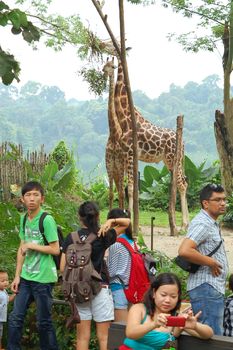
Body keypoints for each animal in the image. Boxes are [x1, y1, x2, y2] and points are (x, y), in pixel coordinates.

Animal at [114, 60, 189, 230]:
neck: (127, 118)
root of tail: (183, 142)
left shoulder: (129, 153)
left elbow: (131, 187)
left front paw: (132, 222)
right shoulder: (127, 155)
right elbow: (128, 187)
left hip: (172, 159)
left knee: (182, 184)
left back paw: (183, 225)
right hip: (172, 161)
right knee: (183, 181)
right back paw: (184, 223)